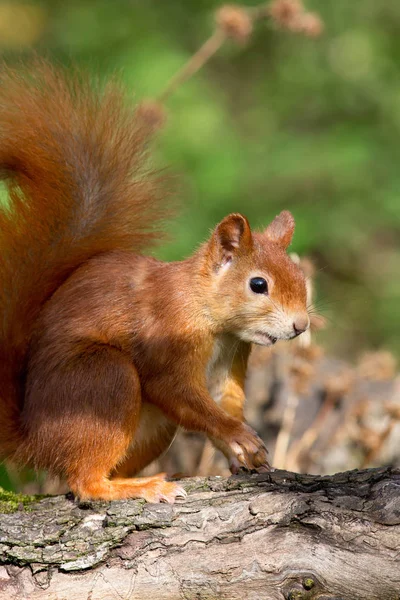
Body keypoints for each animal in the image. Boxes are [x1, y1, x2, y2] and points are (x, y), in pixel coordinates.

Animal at [0, 62, 310, 502]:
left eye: (301, 278)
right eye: (258, 285)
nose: (301, 325)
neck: (211, 318)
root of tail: (34, 440)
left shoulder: (231, 358)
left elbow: (222, 402)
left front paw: (243, 454)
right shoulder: (168, 338)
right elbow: (176, 392)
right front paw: (240, 437)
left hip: (153, 425)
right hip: (103, 381)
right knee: (84, 482)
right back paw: (139, 487)